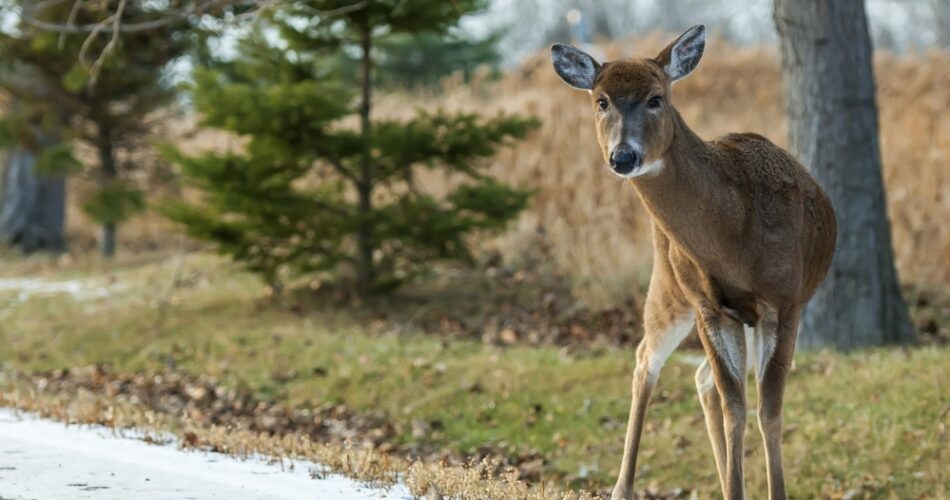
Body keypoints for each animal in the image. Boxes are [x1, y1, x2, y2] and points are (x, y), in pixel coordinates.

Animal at [552, 25, 840, 498]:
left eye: (656, 98)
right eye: (601, 100)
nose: (623, 157)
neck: (734, 238)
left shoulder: (784, 303)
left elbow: (767, 410)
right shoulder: (709, 308)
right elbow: (737, 407)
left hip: (740, 317)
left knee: (703, 379)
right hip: (671, 288)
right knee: (648, 361)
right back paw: (622, 487)